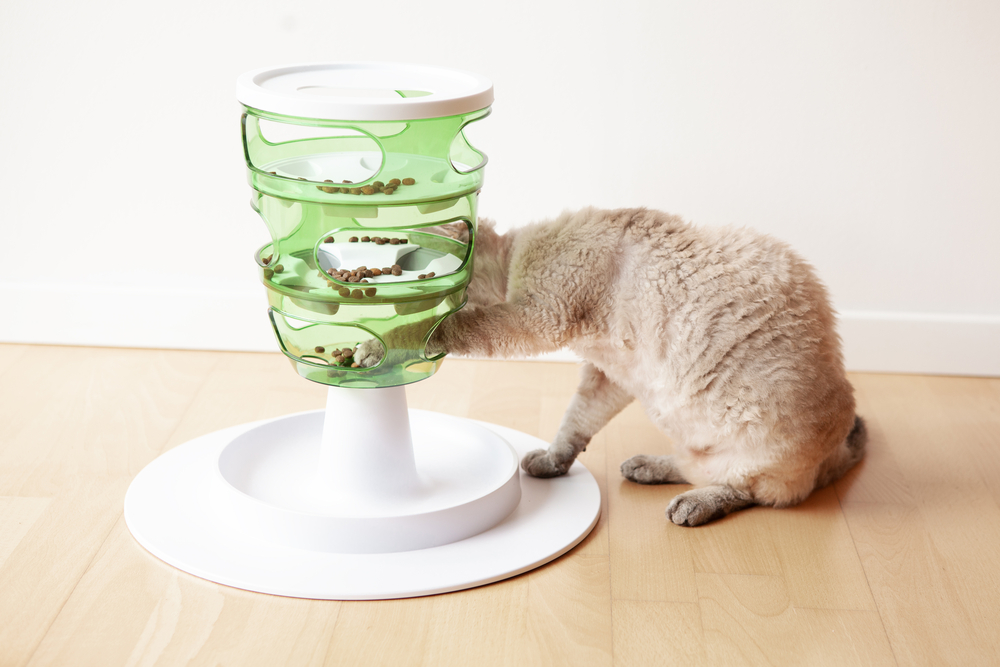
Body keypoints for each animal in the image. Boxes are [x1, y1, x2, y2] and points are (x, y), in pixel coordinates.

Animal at [356, 209, 864, 528]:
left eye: (404, 273)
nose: (380, 301)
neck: (507, 267)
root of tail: (835, 452)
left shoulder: (534, 317)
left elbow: (446, 327)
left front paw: (376, 345)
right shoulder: (611, 374)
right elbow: (575, 423)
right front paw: (553, 462)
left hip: (756, 454)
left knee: (747, 490)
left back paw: (689, 506)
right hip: (686, 431)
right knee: (695, 467)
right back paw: (645, 467)